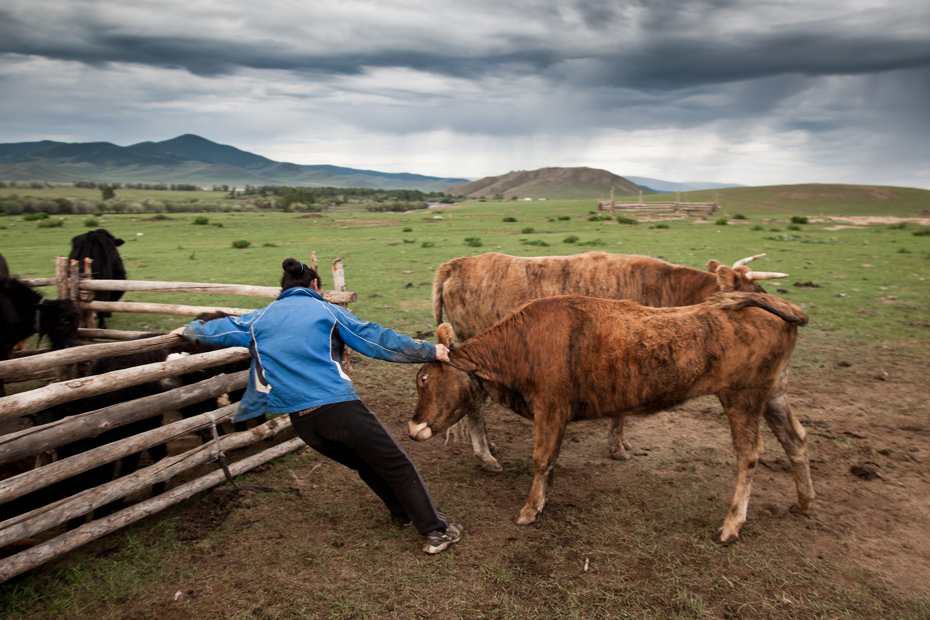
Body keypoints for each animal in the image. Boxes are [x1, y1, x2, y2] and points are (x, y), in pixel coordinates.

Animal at [432, 251, 788, 470]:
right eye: (756, 292)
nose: (782, 315)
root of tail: (457, 263)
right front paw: (617, 447)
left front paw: (621, 443)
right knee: (475, 406)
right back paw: (486, 455)